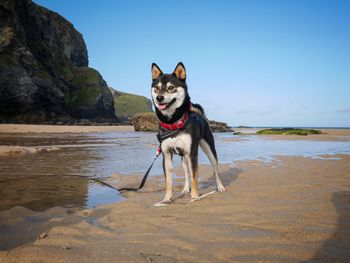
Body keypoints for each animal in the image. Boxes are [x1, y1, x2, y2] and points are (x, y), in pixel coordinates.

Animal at [150, 61, 224, 204]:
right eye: (156, 88)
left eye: (171, 87)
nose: (159, 98)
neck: (173, 123)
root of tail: (199, 114)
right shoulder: (166, 155)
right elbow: (169, 181)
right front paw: (167, 198)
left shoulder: (193, 154)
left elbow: (195, 176)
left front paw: (195, 196)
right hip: (184, 157)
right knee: (186, 172)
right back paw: (185, 189)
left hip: (208, 149)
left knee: (215, 168)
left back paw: (220, 187)